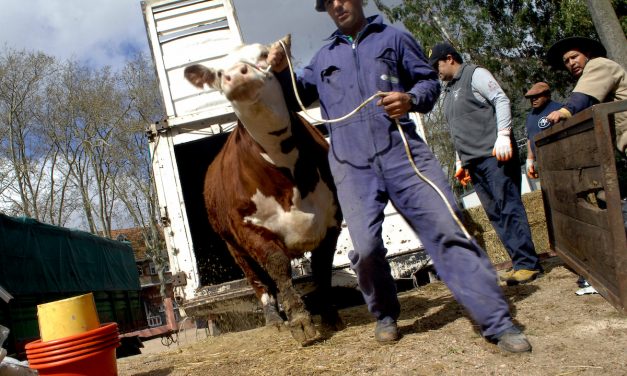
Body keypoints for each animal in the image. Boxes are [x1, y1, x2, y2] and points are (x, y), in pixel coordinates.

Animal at [184, 36, 346, 346]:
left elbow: (322, 267)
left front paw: (329, 313)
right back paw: (274, 318)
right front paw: (300, 320)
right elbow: (278, 266)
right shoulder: (247, 225)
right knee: (259, 281)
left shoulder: (332, 218)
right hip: (233, 245)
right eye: (218, 73)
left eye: (262, 54)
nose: (235, 75)